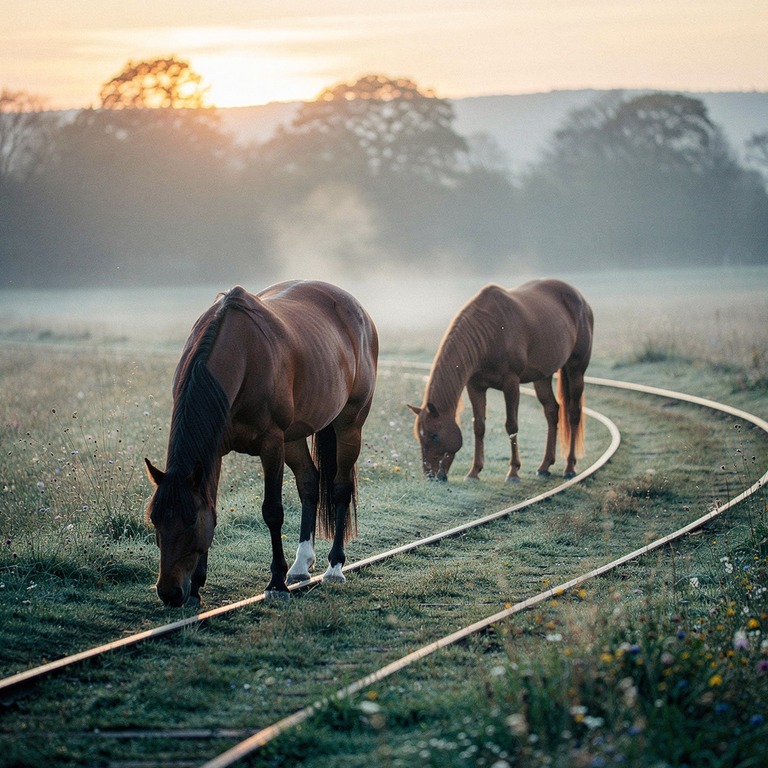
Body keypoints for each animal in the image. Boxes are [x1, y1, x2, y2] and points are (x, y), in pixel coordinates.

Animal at [144, 280, 378, 607]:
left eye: (190, 521)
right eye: (154, 519)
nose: (169, 593)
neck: (242, 355)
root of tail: (357, 310)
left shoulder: (271, 445)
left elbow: (273, 511)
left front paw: (276, 583)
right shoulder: (215, 452)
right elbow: (212, 506)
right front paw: (199, 586)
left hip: (348, 426)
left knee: (340, 489)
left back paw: (334, 567)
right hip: (294, 437)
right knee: (309, 483)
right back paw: (301, 564)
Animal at [409, 278, 593, 483]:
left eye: (434, 435)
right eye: (420, 436)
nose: (430, 475)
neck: (489, 333)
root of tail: (581, 299)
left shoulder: (511, 383)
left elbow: (511, 425)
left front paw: (513, 472)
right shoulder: (475, 386)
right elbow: (479, 426)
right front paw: (474, 472)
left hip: (576, 369)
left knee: (573, 413)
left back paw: (569, 467)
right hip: (542, 377)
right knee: (552, 411)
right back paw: (544, 466)